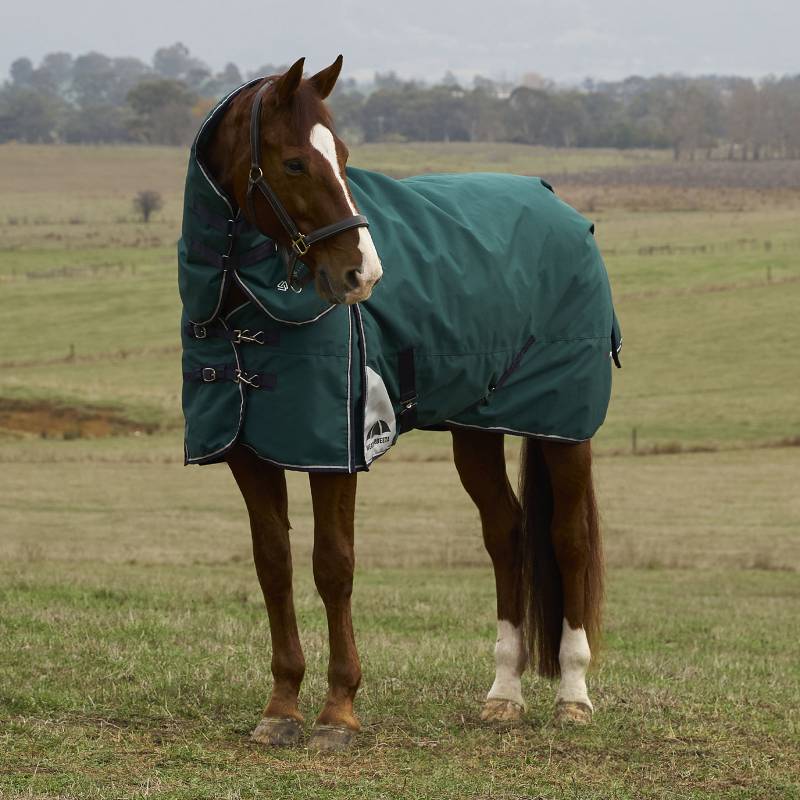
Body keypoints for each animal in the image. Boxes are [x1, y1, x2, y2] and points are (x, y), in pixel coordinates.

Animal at [195, 56, 607, 752]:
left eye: (343, 156)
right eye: (294, 163)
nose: (363, 274)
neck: (245, 311)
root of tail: (556, 203)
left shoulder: (337, 452)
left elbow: (332, 565)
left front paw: (338, 713)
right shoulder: (250, 456)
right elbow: (274, 565)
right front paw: (281, 708)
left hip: (564, 428)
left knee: (567, 538)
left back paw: (573, 695)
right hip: (477, 429)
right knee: (507, 534)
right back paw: (504, 693)